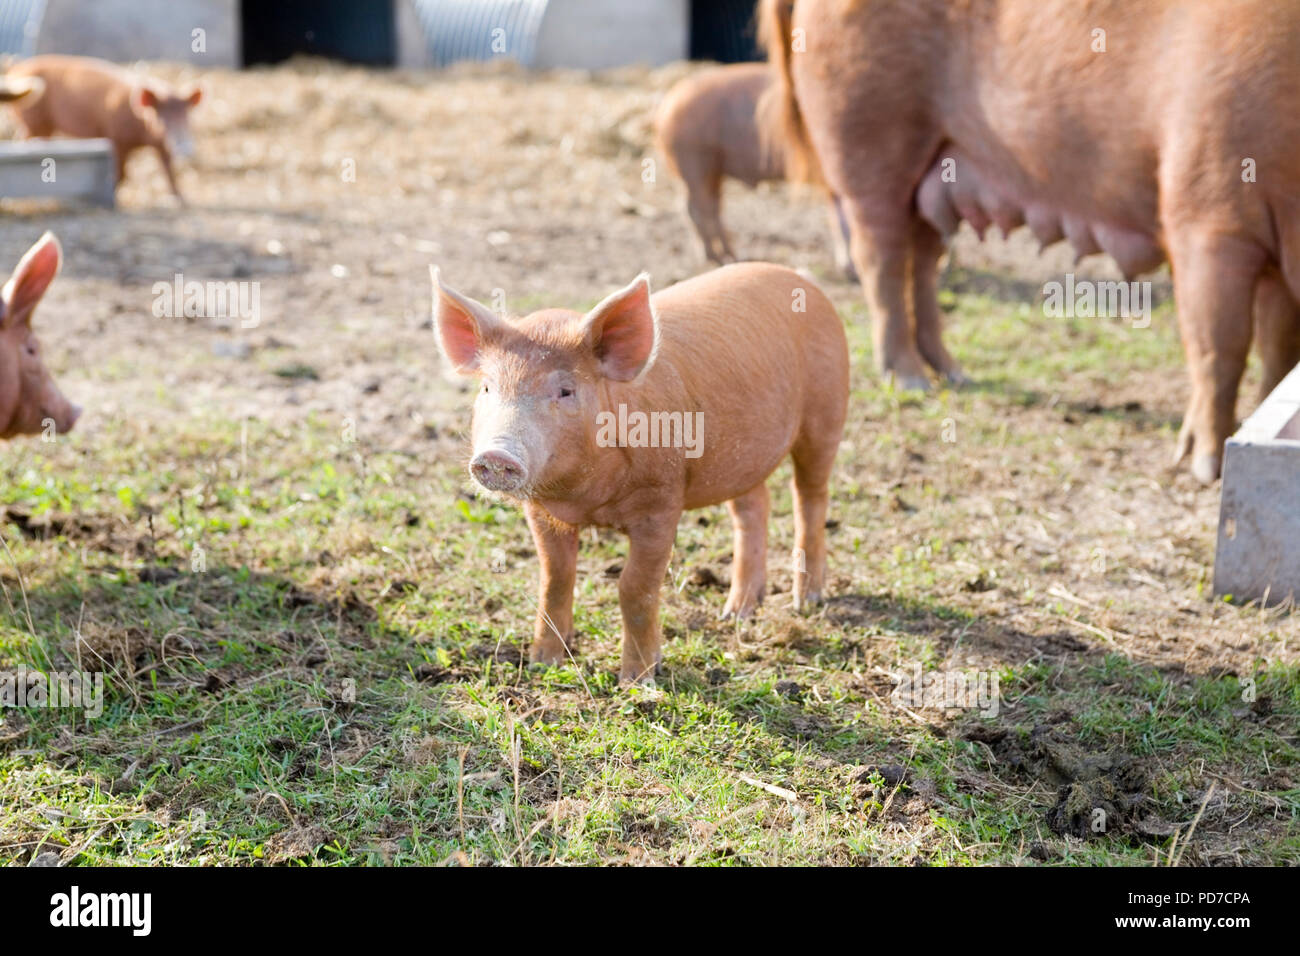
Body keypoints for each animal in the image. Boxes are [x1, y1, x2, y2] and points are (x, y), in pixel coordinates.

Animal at [3, 55, 201, 201]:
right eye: (162, 119)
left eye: (186, 118)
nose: (185, 148)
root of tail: (18, 67)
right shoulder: (117, 140)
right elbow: (122, 172)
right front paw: (114, 191)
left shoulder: (161, 145)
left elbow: (169, 170)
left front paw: (180, 199)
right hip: (34, 121)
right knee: (25, 139)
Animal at [431, 257, 847, 686]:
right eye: (486, 388)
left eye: (565, 391)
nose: (497, 454)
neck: (587, 499)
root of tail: (799, 280)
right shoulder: (543, 511)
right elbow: (555, 577)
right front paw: (544, 663)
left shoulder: (661, 502)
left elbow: (635, 587)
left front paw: (638, 679)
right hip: (741, 458)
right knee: (754, 507)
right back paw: (736, 613)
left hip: (826, 410)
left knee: (810, 497)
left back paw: (807, 600)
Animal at [655, 61, 857, 280]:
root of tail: (666, 106)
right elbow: (843, 224)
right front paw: (851, 271)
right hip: (694, 163)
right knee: (696, 210)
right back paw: (719, 258)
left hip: (711, 170)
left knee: (709, 208)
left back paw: (729, 256)